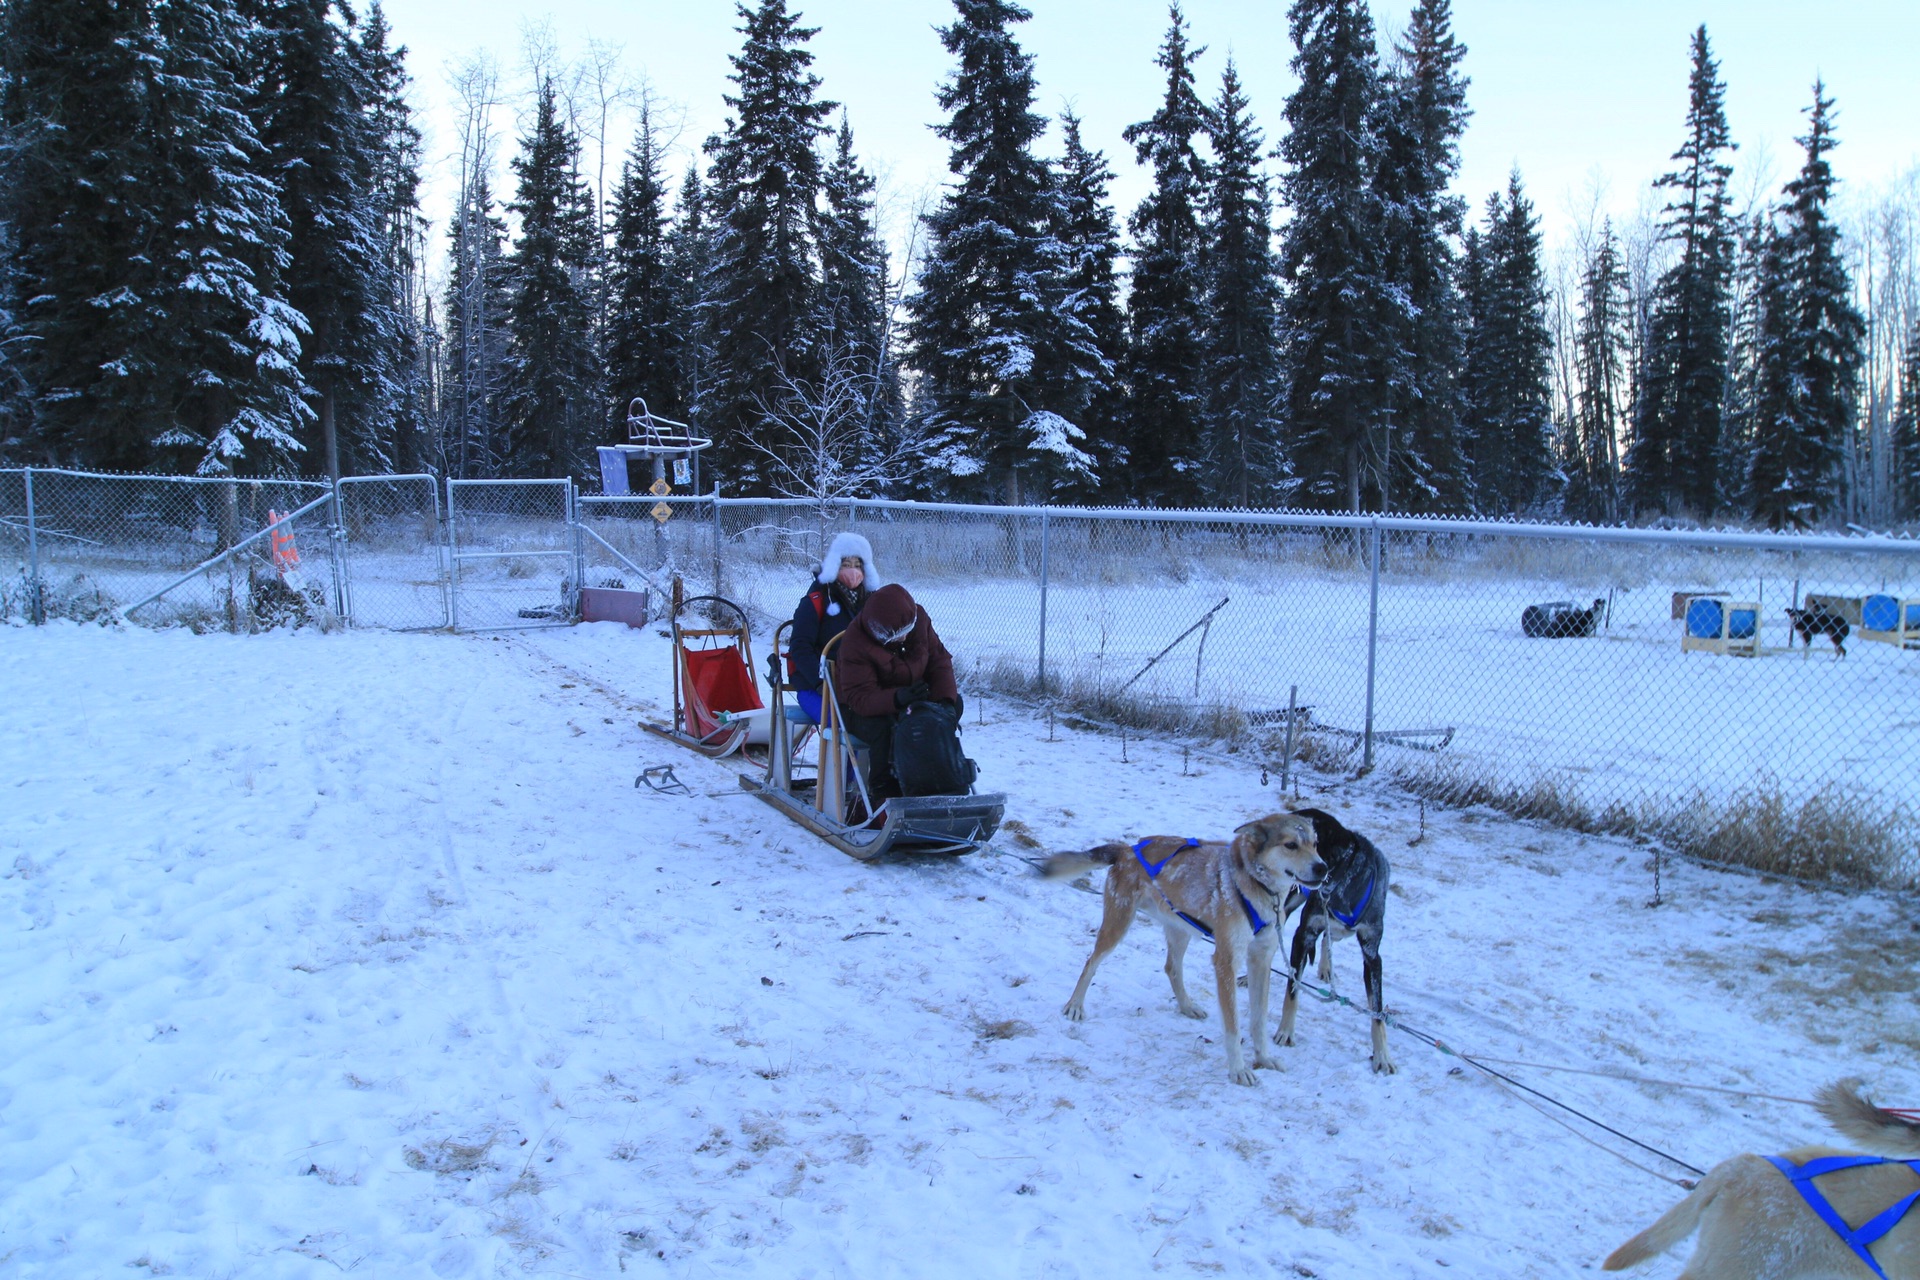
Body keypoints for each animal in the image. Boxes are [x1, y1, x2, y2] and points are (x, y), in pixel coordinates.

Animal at [1044, 817, 1328, 1090]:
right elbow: (1233, 1026)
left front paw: (1264, 1058)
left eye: (1315, 844)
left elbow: (1259, 1021)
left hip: (1180, 929)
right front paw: (1238, 1069)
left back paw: (1187, 1006)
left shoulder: (1261, 959)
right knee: (1091, 962)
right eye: (1290, 845)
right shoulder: (1226, 961)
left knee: (1172, 968)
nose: (1323, 868)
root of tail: (1127, 849)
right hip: (1118, 924)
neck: (1257, 885)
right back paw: (1075, 1005)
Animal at [1274, 809, 1397, 1074]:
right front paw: (1285, 1032)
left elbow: (1378, 1012)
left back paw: (1326, 967)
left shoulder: (1372, 955)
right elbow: (1292, 990)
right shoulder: (1303, 934)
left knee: (1328, 939)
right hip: (1287, 903)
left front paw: (1383, 1056)